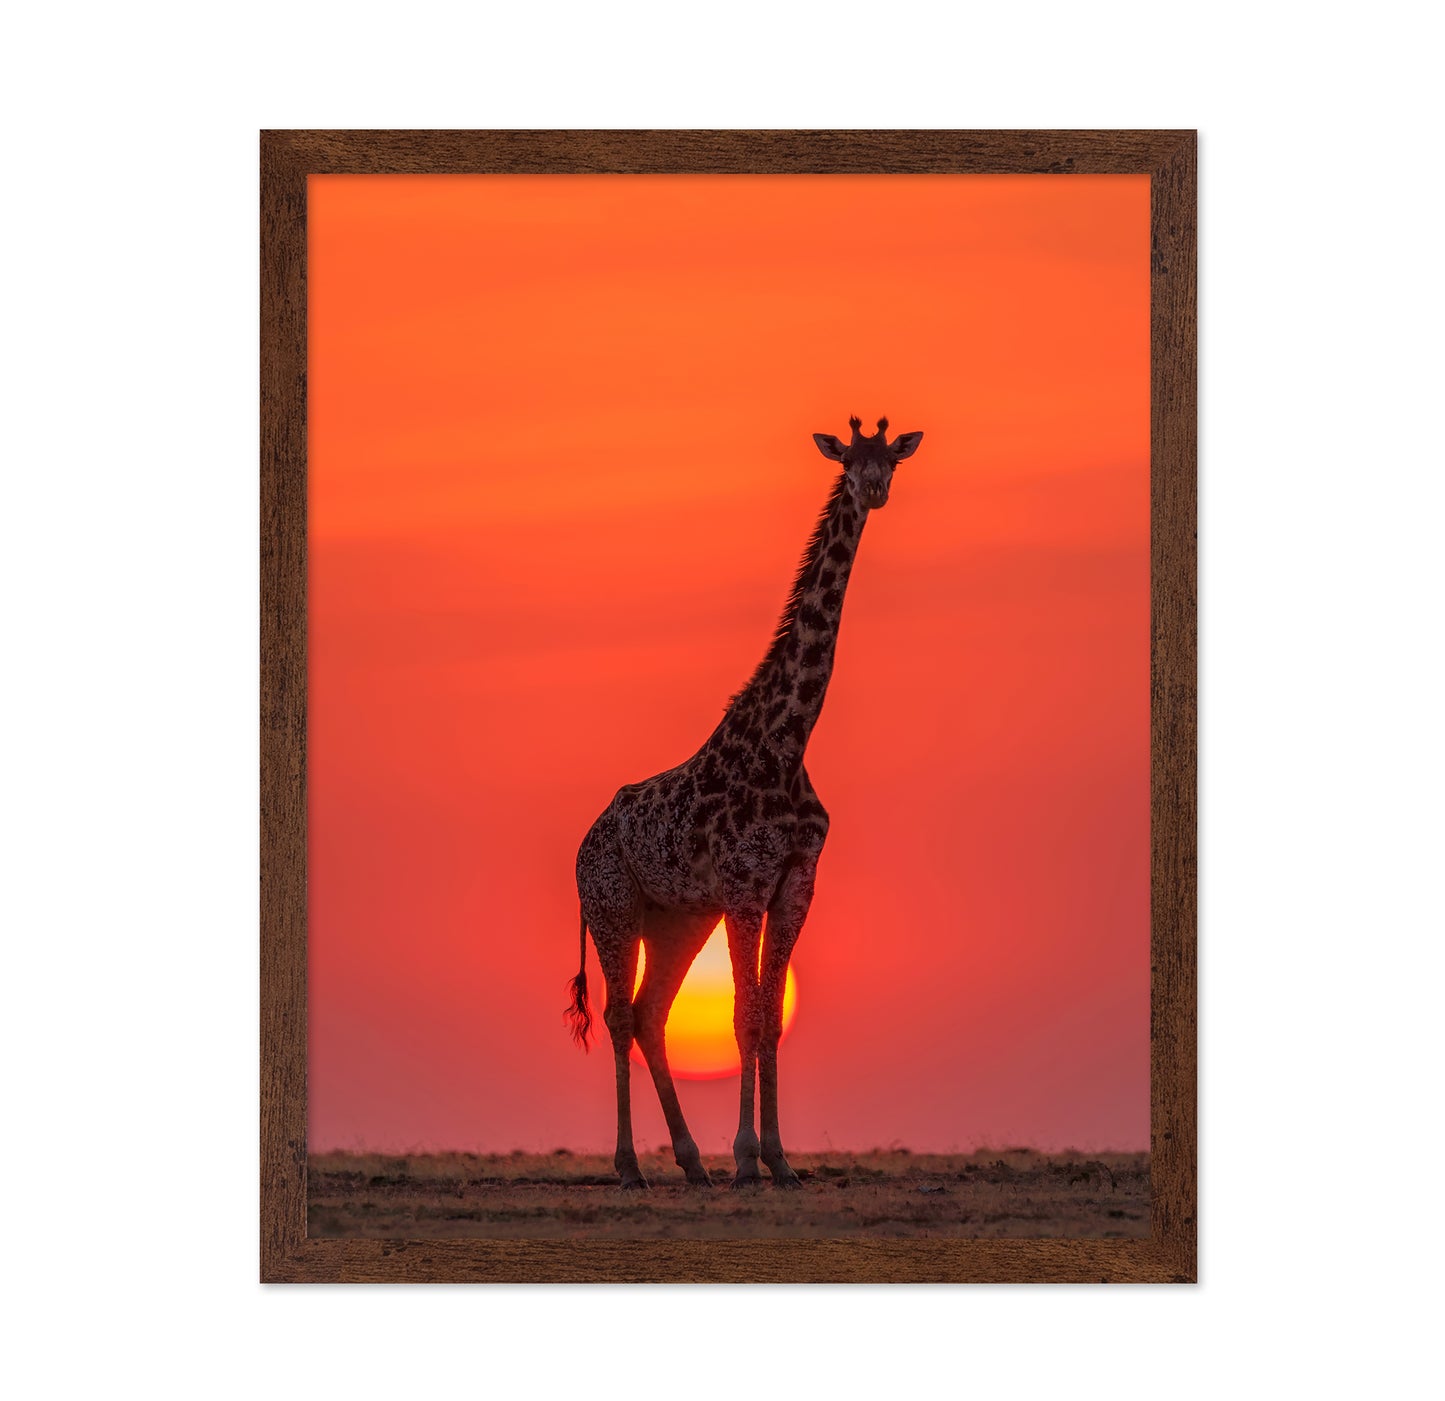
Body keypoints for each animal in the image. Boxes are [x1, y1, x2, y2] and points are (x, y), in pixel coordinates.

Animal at [567, 415, 923, 1189]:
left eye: (890, 460)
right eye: (849, 460)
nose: (873, 490)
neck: (787, 741)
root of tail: (582, 844)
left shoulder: (794, 884)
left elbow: (768, 1016)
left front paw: (779, 1160)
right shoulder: (743, 885)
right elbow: (742, 1015)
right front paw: (745, 1158)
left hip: (677, 918)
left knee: (650, 1013)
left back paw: (690, 1162)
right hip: (613, 906)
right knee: (618, 1015)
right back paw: (631, 1167)